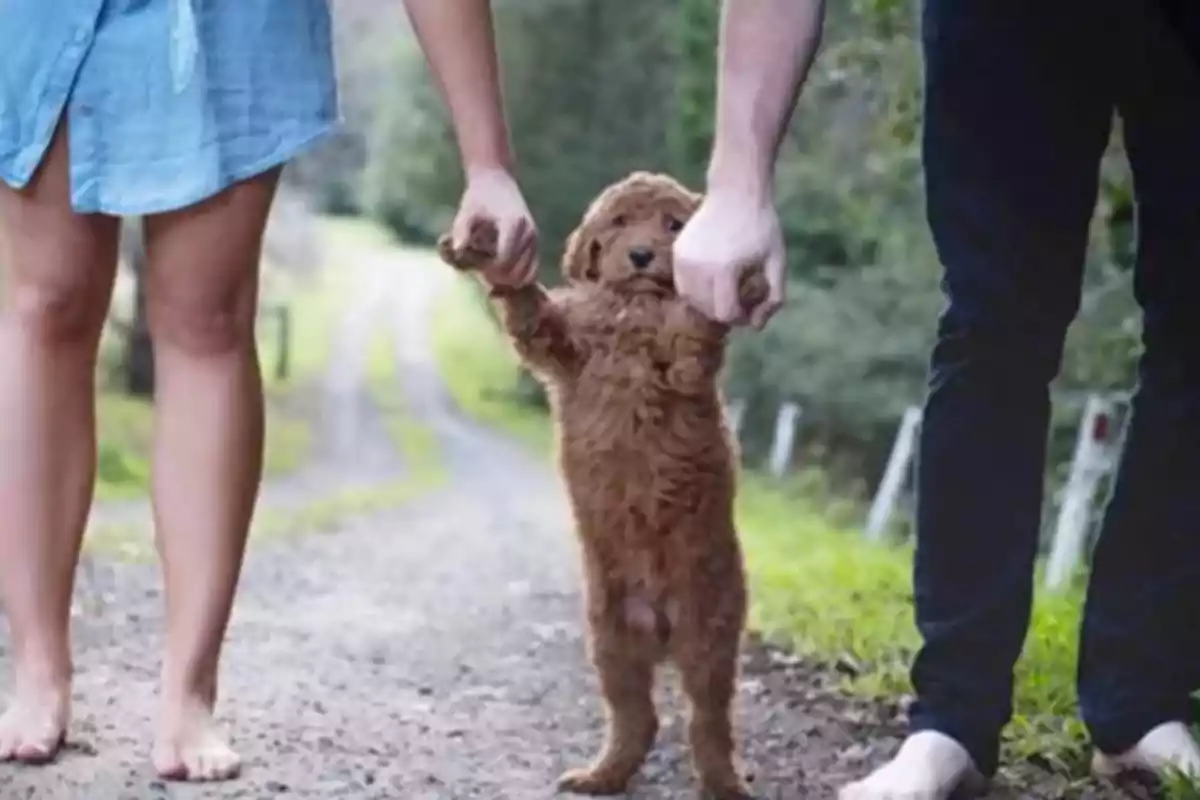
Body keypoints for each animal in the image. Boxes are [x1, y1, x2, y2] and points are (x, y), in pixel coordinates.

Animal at [441, 172, 768, 796]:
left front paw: (736, 282)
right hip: (610, 639)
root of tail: (659, 622)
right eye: (618, 224)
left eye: (673, 225)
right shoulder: (563, 344)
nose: (641, 256)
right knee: (637, 715)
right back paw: (601, 775)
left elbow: (693, 330)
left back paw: (723, 782)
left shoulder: (683, 367)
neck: (631, 303)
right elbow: (531, 310)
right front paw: (486, 251)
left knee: (708, 719)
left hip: (710, 632)